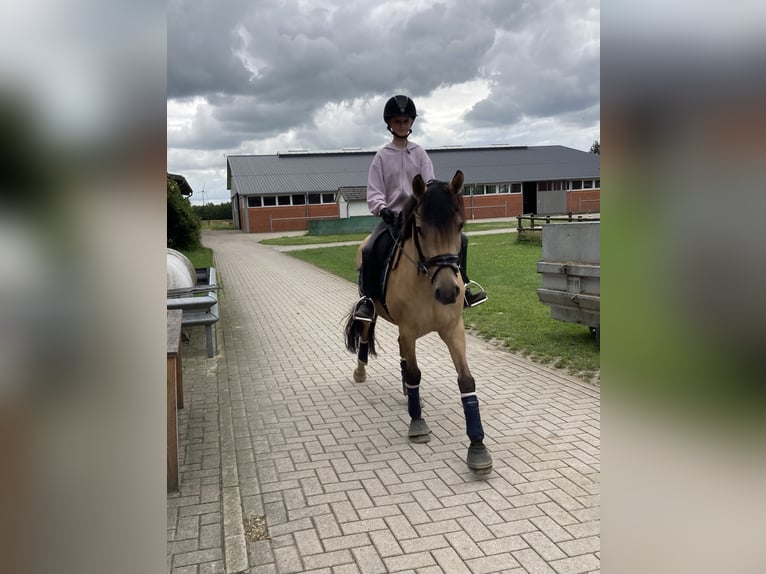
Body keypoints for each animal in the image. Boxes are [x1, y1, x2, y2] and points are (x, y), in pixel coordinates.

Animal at [344, 171, 496, 476]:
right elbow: (415, 374)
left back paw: (406, 393)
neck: (427, 281)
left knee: (402, 354)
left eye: (459, 225)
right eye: (421, 228)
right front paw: (417, 424)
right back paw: (361, 372)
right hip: (373, 313)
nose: (448, 292)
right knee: (366, 337)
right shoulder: (409, 329)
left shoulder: (453, 330)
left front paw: (477, 447)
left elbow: (466, 380)